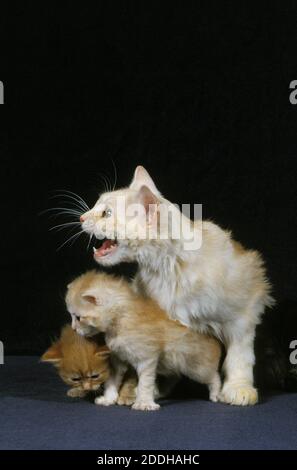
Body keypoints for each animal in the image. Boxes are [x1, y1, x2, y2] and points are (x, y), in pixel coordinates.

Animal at [66, 272, 221, 412]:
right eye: (72, 316)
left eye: (78, 318)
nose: (73, 328)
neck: (120, 321)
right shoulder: (117, 359)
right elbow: (112, 381)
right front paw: (108, 399)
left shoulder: (147, 358)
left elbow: (145, 383)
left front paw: (144, 403)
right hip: (171, 365)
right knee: (173, 378)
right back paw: (157, 393)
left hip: (196, 368)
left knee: (215, 377)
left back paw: (216, 394)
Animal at [79, 165, 272, 404]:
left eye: (106, 213)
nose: (81, 218)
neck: (170, 267)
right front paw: (138, 390)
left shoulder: (243, 313)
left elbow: (240, 355)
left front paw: (239, 387)